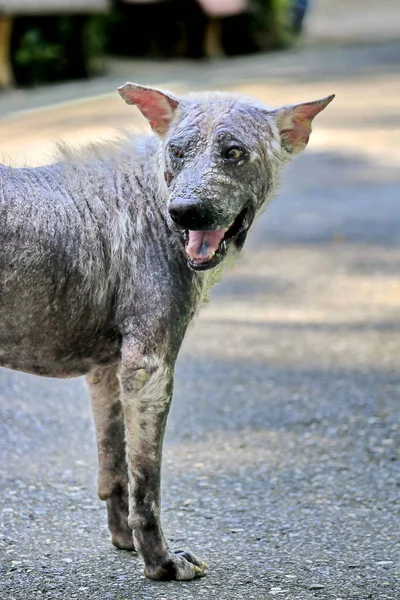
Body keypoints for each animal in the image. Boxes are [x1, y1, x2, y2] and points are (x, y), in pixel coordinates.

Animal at [0, 82, 334, 580]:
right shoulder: (149, 372)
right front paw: (160, 564)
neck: (149, 197)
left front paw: (125, 542)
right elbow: (147, 487)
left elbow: (115, 472)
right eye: (177, 150)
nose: (184, 212)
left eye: (234, 153)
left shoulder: (108, 374)